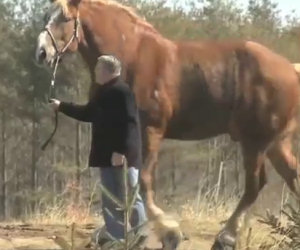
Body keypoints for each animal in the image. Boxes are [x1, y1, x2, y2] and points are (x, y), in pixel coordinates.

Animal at [36, 0, 300, 248]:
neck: (132, 56)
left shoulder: (150, 131)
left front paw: (169, 233)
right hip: (275, 143)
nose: (41, 52)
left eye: (66, 18)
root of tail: (291, 69)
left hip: (255, 142)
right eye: (46, 15)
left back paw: (225, 238)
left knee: (254, 185)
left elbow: (142, 182)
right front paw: (108, 234)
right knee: (291, 175)